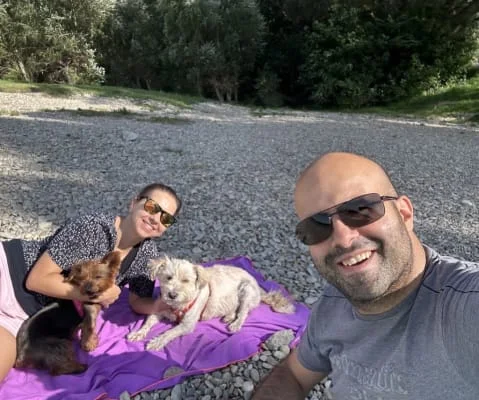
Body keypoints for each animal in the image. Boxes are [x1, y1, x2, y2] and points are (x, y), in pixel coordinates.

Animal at [127, 255, 295, 351]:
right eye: (168, 278)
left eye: (186, 280)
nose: (172, 294)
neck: (178, 305)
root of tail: (259, 287)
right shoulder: (158, 311)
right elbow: (147, 323)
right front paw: (138, 333)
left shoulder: (187, 325)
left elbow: (169, 332)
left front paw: (156, 342)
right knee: (236, 309)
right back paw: (228, 316)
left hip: (246, 290)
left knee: (244, 312)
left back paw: (235, 323)